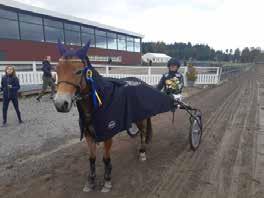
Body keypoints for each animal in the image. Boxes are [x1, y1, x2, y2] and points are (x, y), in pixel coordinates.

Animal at [53, 41, 153, 192]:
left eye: (78, 71)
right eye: (57, 70)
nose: (60, 103)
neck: (98, 103)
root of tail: (140, 82)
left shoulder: (107, 134)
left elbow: (106, 159)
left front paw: (107, 180)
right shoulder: (88, 134)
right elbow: (92, 158)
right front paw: (91, 180)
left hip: (140, 118)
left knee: (143, 132)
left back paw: (142, 152)